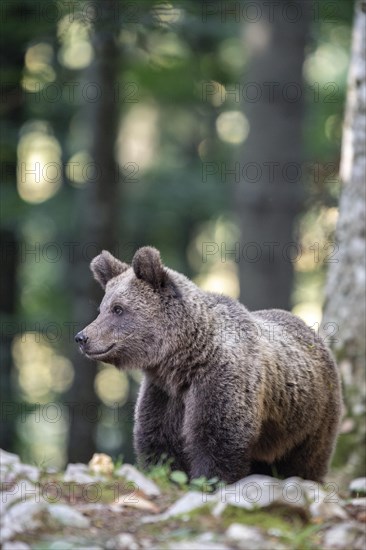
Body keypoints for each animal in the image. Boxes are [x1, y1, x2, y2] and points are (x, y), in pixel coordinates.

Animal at [75, 248, 344, 486]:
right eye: (101, 309)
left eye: (118, 309)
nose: (82, 337)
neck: (182, 361)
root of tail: (313, 334)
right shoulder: (164, 393)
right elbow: (159, 439)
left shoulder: (220, 381)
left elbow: (218, 438)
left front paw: (208, 480)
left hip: (310, 419)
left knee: (307, 460)